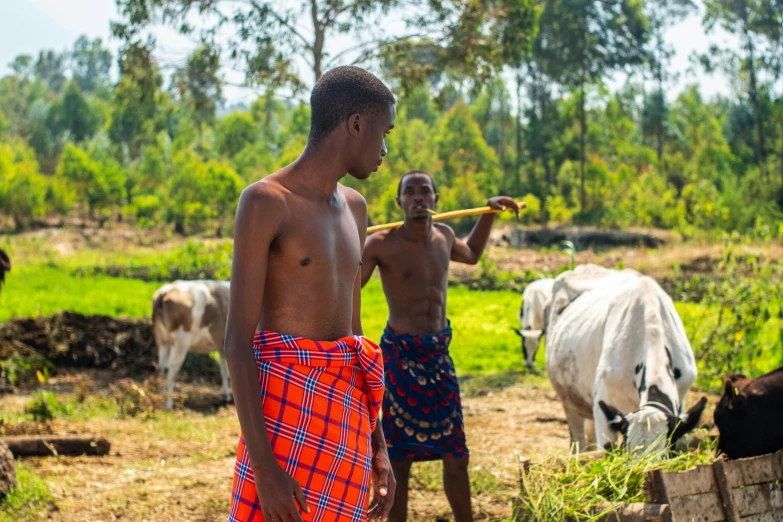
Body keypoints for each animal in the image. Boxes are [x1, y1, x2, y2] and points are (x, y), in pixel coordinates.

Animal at [150, 278, 230, 408]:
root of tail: (167, 290)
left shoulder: (221, 347)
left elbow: (224, 370)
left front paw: (225, 395)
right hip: (180, 342)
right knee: (171, 369)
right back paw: (169, 404)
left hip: (162, 340)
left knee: (161, 367)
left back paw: (159, 395)